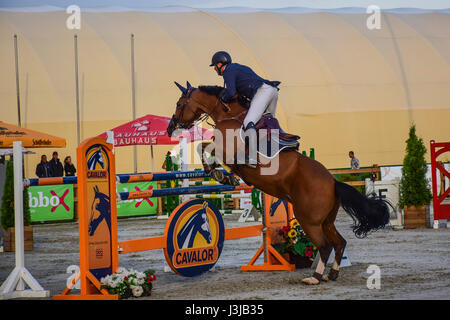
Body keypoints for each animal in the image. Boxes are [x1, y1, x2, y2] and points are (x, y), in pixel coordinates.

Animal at [166, 80, 390, 284]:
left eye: (179, 103)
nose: (170, 128)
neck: (228, 115)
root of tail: (333, 183)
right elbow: (205, 147)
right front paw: (224, 175)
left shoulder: (226, 150)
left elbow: (203, 147)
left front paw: (219, 173)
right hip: (325, 221)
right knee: (339, 242)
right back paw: (332, 274)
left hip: (308, 219)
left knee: (325, 245)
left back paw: (315, 277)